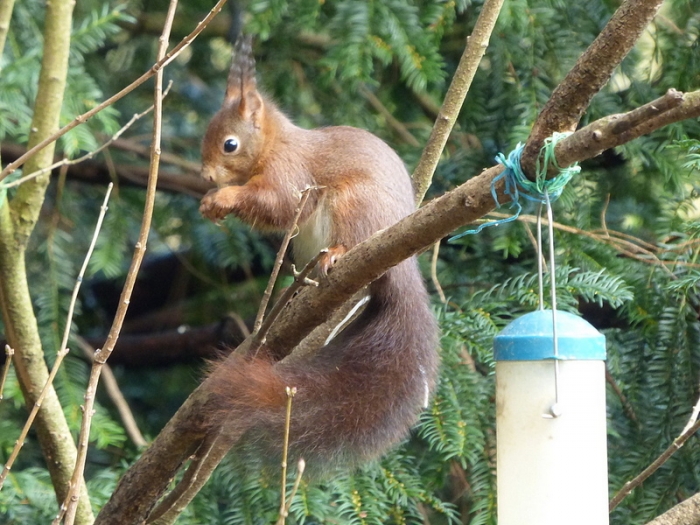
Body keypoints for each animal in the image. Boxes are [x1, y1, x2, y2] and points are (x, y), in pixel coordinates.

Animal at [199, 36, 439, 469]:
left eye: (230, 145)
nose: (206, 175)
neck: (274, 145)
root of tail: (401, 269)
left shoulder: (290, 175)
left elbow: (275, 204)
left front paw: (224, 197)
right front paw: (211, 202)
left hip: (354, 205)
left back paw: (335, 256)